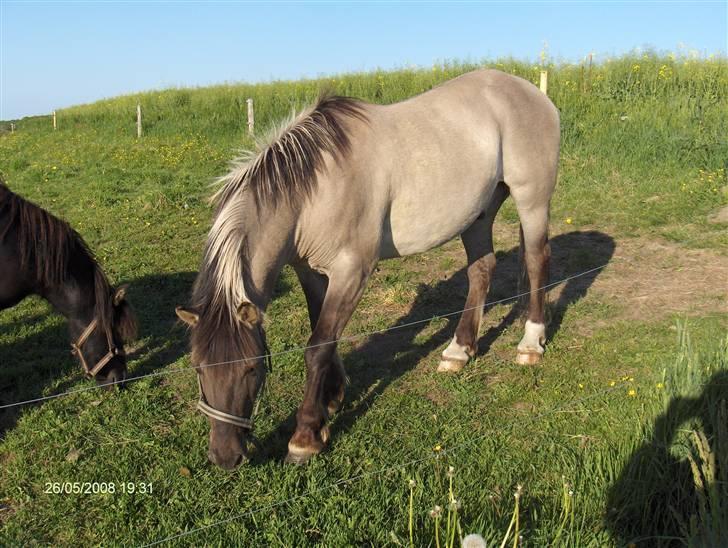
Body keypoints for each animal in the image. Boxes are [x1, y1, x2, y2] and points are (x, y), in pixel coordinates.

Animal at [178, 68, 564, 468]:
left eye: (251, 368)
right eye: (198, 368)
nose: (225, 456)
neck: (313, 191)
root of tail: (530, 91)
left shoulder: (353, 271)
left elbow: (317, 346)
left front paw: (305, 436)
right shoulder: (310, 272)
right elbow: (322, 333)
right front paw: (331, 399)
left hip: (531, 200)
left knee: (536, 261)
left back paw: (530, 344)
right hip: (479, 212)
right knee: (481, 271)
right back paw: (458, 351)